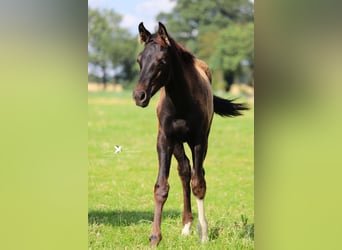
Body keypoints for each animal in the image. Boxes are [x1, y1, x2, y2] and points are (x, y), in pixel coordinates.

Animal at [132, 22, 247, 246]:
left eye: (162, 60)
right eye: (139, 60)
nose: (138, 96)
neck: (182, 102)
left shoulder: (199, 141)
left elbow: (199, 184)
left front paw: (204, 235)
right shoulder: (164, 140)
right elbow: (161, 187)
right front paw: (154, 238)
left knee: (197, 173)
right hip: (177, 143)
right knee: (184, 171)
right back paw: (186, 226)